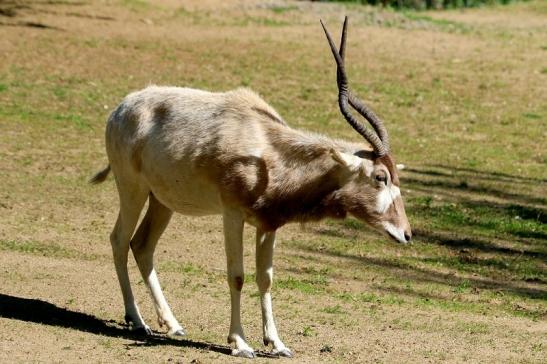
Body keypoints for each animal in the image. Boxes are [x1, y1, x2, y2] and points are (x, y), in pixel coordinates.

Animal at [91, 17, 412, 358]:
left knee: (142, 246)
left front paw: (277, 343)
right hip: (132, 189)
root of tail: (122, 107)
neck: (267, 148)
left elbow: (265, 278)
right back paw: (137, 321)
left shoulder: (268, 224)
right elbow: (237, 276)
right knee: (119, 240)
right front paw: (240, 343)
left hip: (162, 201)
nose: (406, 233)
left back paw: (173, 324)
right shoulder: (232, 215)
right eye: (380, 177)